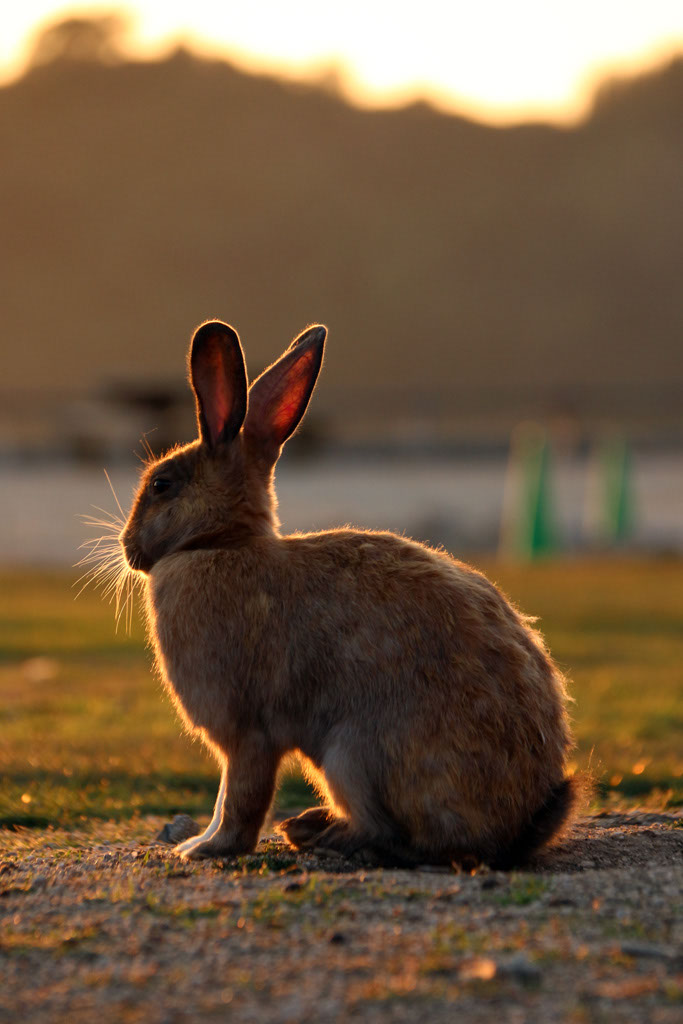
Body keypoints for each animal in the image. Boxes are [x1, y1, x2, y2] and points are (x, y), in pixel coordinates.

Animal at [119, 319, 576, 867]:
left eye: (162, 485)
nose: (127, 549)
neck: (221, 542)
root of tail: (516, 828)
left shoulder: (247, 732)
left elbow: (240, 796)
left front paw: (205, 848)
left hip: (350, 756)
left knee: (397, 837)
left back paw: (317, 832)